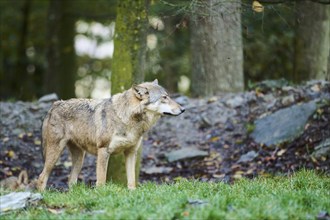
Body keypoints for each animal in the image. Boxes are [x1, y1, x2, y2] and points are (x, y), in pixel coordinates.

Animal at [38, 79, 186, 191]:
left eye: (168, 96)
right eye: (164, 98)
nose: (183, 109)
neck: (127, 118)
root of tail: (54, 105)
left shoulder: (131, 152)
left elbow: (132, 180)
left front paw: (132, 193)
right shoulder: (103, 151)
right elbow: (101, 181)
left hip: (80, 159)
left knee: (70, 180)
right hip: (55, 154)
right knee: (41, 177)